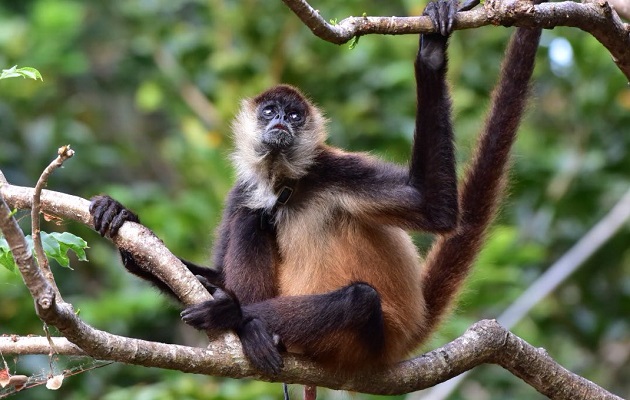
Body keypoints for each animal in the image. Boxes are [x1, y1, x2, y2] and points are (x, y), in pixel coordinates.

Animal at [91, 0, 544, 378]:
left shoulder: (333, 168)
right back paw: (252, 331)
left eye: (294, 115)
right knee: (253, 216)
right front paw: (127, 227)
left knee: (359, 298)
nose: (280, 122)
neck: (286, 181)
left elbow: (434, 208)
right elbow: (220, 261)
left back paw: (235, 315)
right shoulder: (243, 187)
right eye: (269, 111)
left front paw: (431, 53)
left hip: (367, 341)